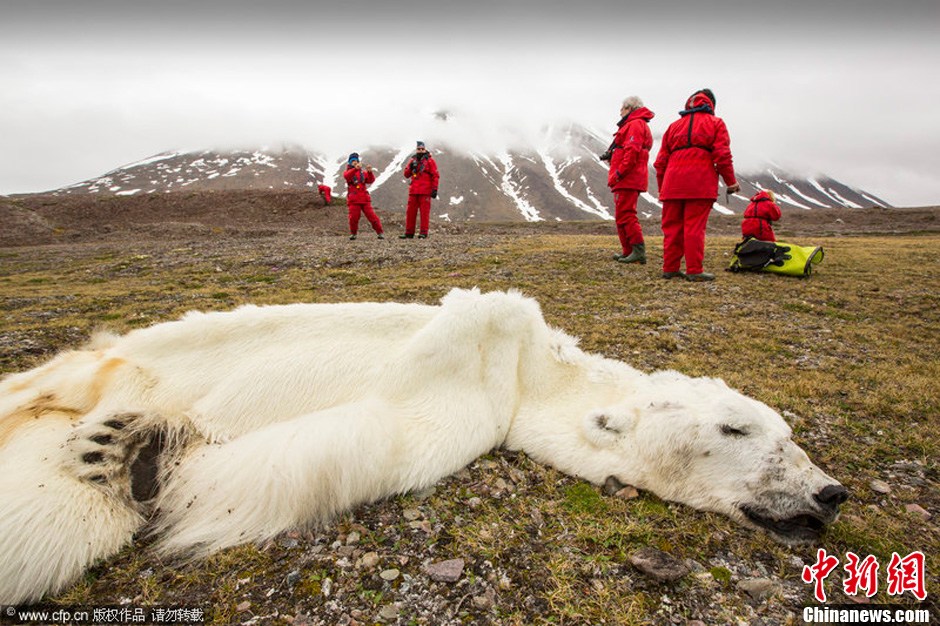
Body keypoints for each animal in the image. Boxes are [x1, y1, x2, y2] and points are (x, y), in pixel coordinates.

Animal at [0, 286, 844, 600]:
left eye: (787, 434)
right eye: (738, 427)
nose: (829, 492)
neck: (527, 373)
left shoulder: (467, 415)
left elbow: (334, 447)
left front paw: (143, 456)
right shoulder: (481, 360)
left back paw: (113, 449)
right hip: (113, 359)